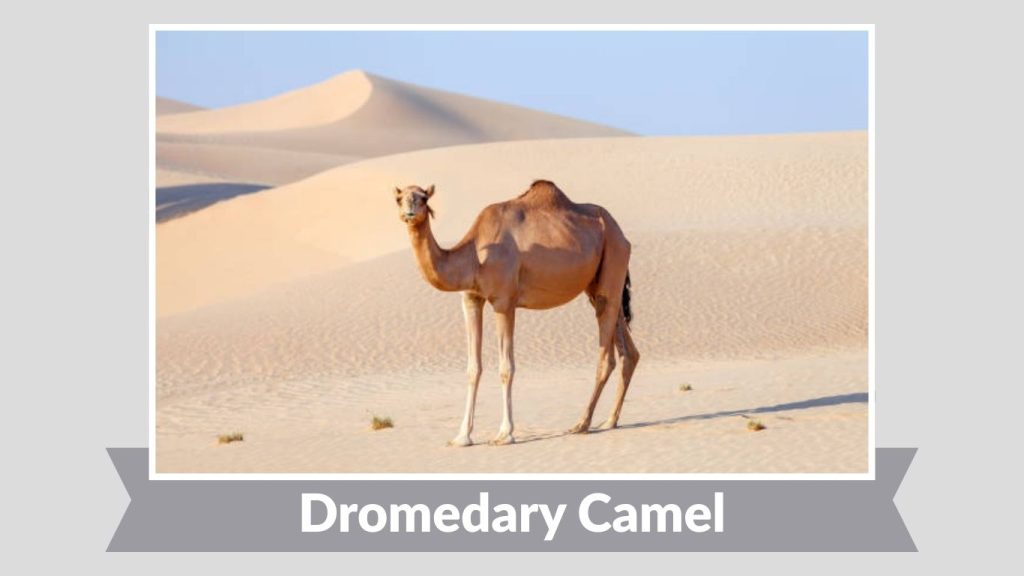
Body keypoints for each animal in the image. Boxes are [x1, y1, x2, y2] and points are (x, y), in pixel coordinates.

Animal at [394, 180, 639, 446]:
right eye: (399, 198)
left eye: (424, 198)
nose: (409, 212)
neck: (475, 257)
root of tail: (622, 235)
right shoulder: (471, 299)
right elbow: (473, 368)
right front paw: (462, 436)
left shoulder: (504, 302)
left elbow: (506, 368)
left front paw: (505, 433)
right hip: (598, 284)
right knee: (628, 350)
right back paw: (610, 421)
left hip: (613, 258)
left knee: (606, 354)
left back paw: (581, 424)